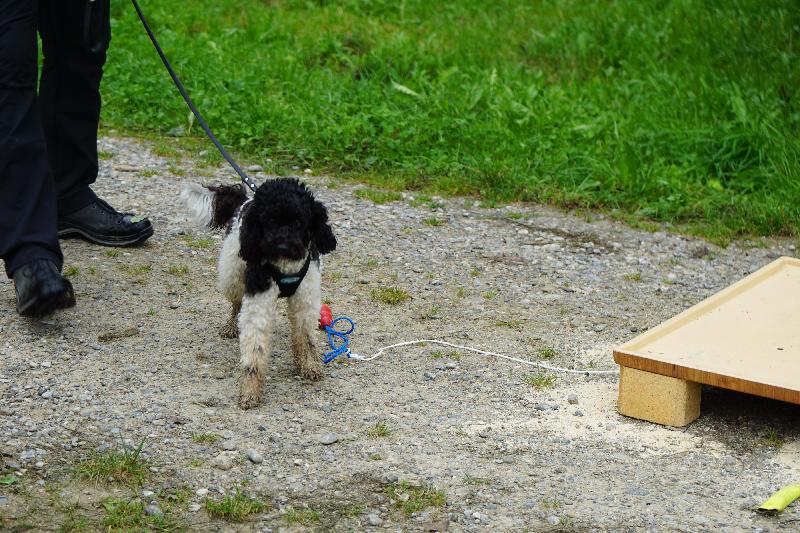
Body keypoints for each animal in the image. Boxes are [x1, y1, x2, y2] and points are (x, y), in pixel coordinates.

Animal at [180, 178, 336, 409]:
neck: (285, 266)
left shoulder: (306, 301)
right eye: (269, 220)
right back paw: (230, 326)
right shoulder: (258, 302)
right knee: (236, 304)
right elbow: (254, 349)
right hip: (233, 275)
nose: (282, 246)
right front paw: (250, 390)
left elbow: (305, 336)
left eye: (299, 222)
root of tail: (244, 200)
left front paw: (309, 365)